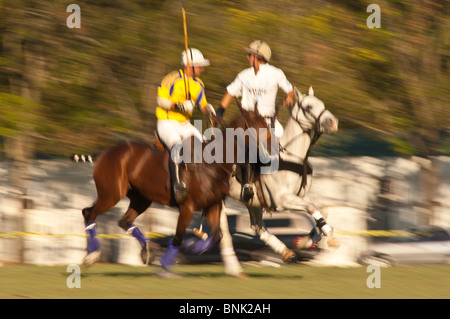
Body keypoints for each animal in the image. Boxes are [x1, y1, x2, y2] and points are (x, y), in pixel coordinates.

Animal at [81, 110, 270, 270]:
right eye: (254, 122)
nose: (270, 143)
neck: (214, 163)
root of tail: (104, 152)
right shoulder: (187, 207)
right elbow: (178, 237)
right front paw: (169, 261)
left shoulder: (212, 205)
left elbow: (217, 236)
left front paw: (192, 247)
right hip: (110, 195)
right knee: (88, 213)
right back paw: (92, 255)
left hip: (141, 199)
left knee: (123, 221)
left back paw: (146, 251)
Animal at [217, 87, 338, 278]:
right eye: (308, 107)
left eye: (322, 104)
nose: (333, 123)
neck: (293, 156)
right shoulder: (281, 200)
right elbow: (312, 208)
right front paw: (328, 234)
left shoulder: (300, 194)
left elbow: (320, 209)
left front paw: (304, 241)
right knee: (223, 228)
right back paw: (234, 269)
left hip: (253, 201)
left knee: (257, 227)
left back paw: (286, 252)